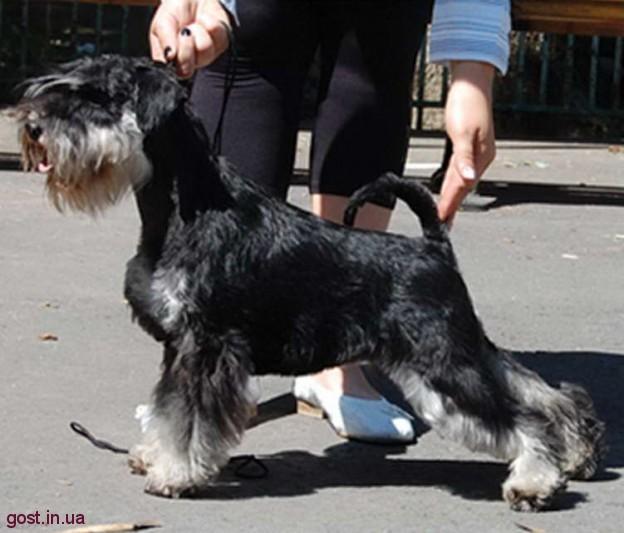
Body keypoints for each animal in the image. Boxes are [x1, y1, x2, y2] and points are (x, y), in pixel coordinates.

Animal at [11, 55, 605, 511]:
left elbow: (188, 417)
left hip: (443, 368)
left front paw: (175, 473)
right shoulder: (179, 347)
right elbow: (168, 408)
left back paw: (535, 481)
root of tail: (434, 246)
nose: (33, 126)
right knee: (538, 389)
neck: (184, 207)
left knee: (521, 416)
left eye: (97, 98)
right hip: (459, 350)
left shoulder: (207, 346)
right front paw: (153, 455)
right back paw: (574, 450)